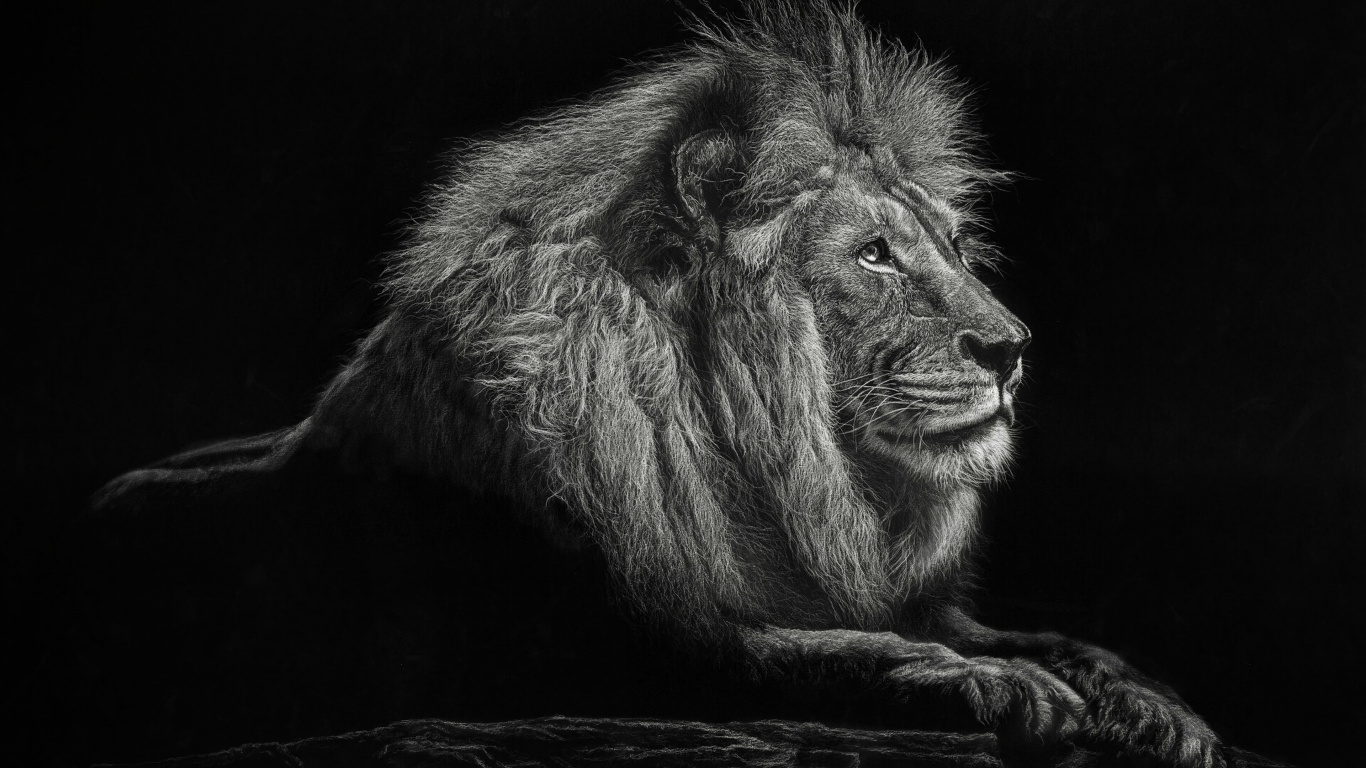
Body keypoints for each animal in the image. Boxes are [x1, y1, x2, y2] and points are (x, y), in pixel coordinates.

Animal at [84, 2, 1226, 766]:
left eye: (950, 245)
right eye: (874, 256)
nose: (1011, 347)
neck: (776, 468)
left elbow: (1053, 638)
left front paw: (1158, 707)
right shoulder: (622, 647)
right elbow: (834, 657)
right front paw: (994, 685)